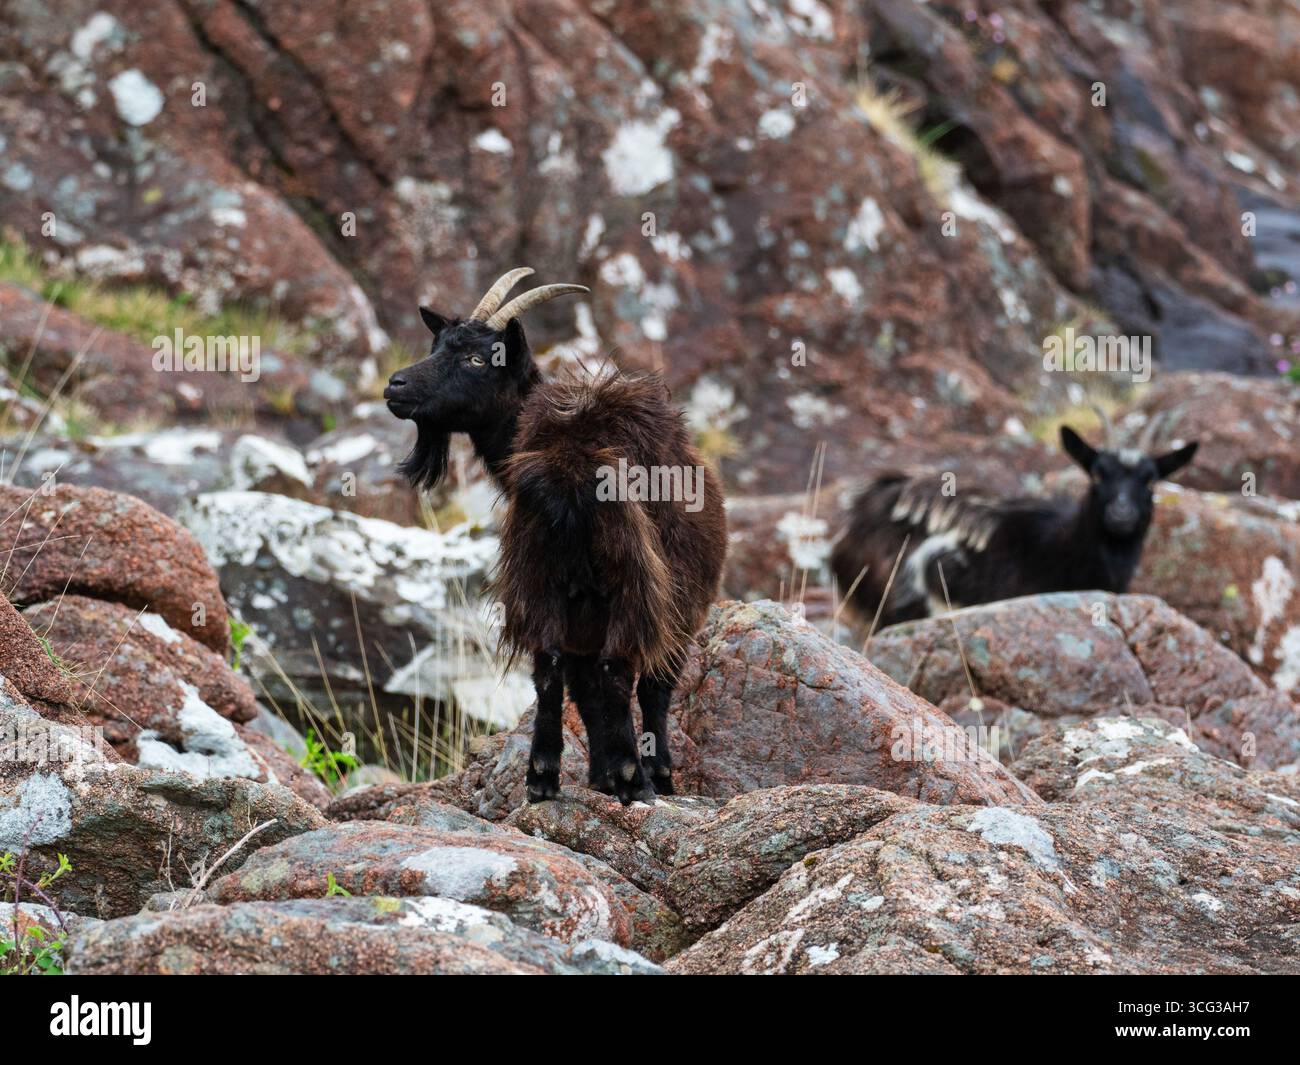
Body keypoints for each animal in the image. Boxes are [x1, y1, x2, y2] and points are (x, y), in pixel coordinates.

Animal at [384, 268, 726, 804]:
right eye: (436, 344)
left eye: (477, 358)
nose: (395, 385)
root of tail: (571, 466)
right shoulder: (670, 604)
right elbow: (640, 688)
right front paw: (643, 775)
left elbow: (579, 684)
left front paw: (602, 775)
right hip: (634, 582)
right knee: (620, 674)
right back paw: (635, 780)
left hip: (540, 572)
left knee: (551, 668)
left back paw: (544, 777)